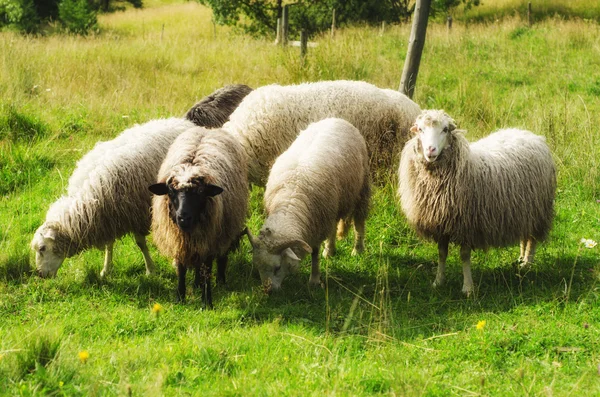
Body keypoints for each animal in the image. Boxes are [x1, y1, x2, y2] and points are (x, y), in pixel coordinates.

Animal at [30, 118, 196, 278]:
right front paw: (106, 270)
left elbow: (140, 244)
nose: (40, 275)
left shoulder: (135, 213)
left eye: (42, 248)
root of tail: (183, 122)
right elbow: (109, 245)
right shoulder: (109, 218)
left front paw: (150, 270)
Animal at [149, 125, 248, 304]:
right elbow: (181, 268)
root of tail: (208, 129)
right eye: (170, 192)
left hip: (226, 230)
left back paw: (221, 281)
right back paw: (196, 283)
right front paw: (180, 298)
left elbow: (207, 269)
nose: (183, 218)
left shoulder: (210, 239)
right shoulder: (179, 239)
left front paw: (207, 301)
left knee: (221, 257)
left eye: (201, 192)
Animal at [245, 117, 370, 290]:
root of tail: (335, 118)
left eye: (277, 267)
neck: (289, 201)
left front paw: (314, 280)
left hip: (361, 189)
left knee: (359, 221)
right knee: (333, 226)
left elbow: (315, 253)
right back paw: (330, 250)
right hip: (332, 205)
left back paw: (357, 249)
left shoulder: (316, 226)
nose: (268, 291)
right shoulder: (320, 217)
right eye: (258, 268)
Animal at [398, 108, 556, 294]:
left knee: (532, 239)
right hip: (523, 210)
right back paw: (521, 259)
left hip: (538, 209)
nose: (431, 150)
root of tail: (531, 135)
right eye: (421, 129)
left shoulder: (467, 224)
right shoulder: (441, 224)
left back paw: (527, 264)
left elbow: (464, 255)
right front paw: (438, 281)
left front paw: (468, 287)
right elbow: (441, 254)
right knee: (525, 236)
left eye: (445, 129)